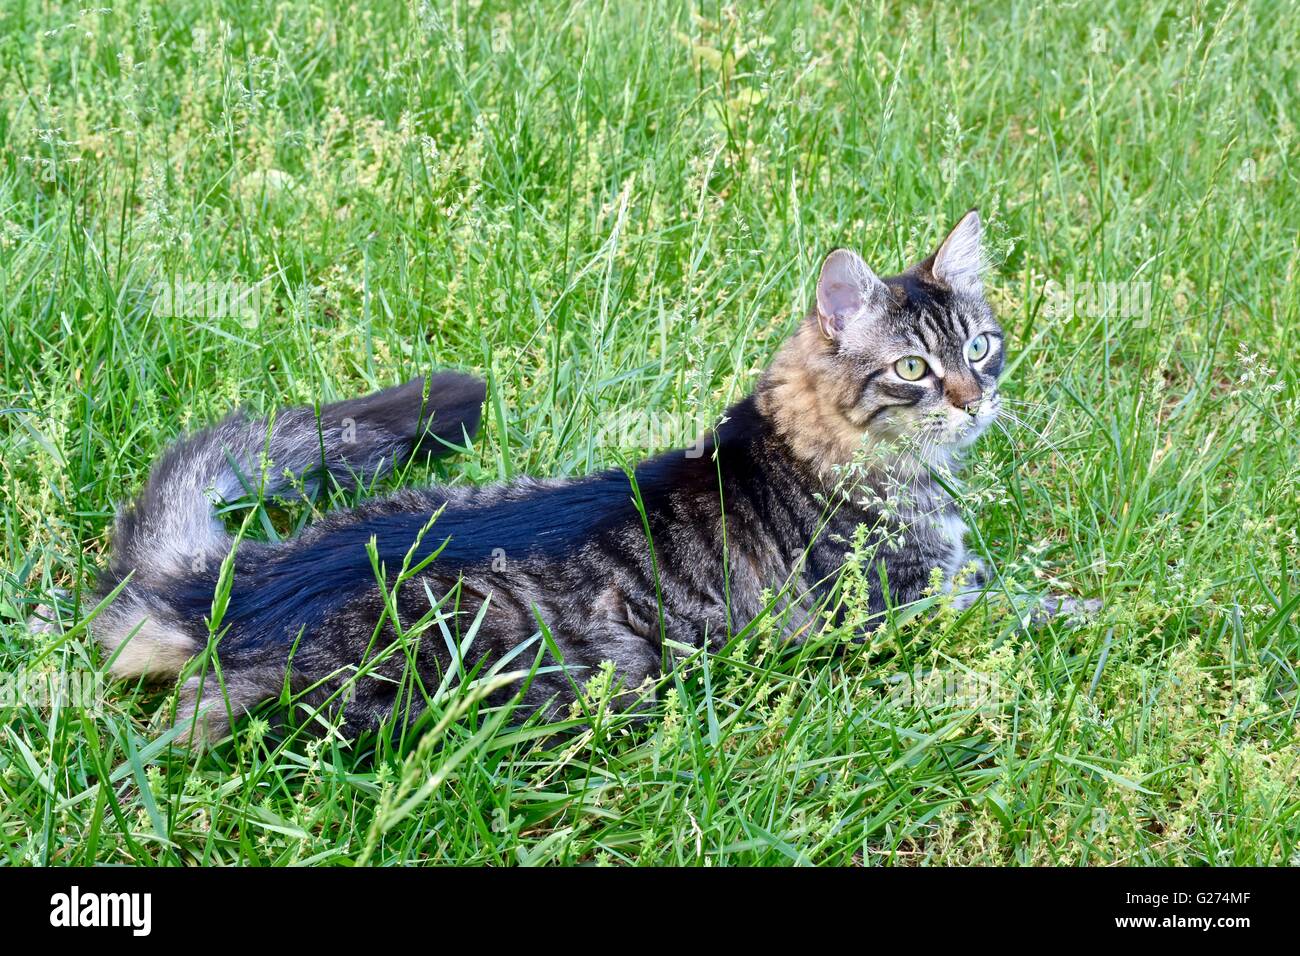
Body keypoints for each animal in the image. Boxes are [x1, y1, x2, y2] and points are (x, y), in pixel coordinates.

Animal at [50, 213, 1081, 743]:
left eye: (981, 347)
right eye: (912, 369)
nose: (976, 399)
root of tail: (229, 586)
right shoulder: (919, 608)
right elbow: (1043, 607)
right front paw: (1113, 610)